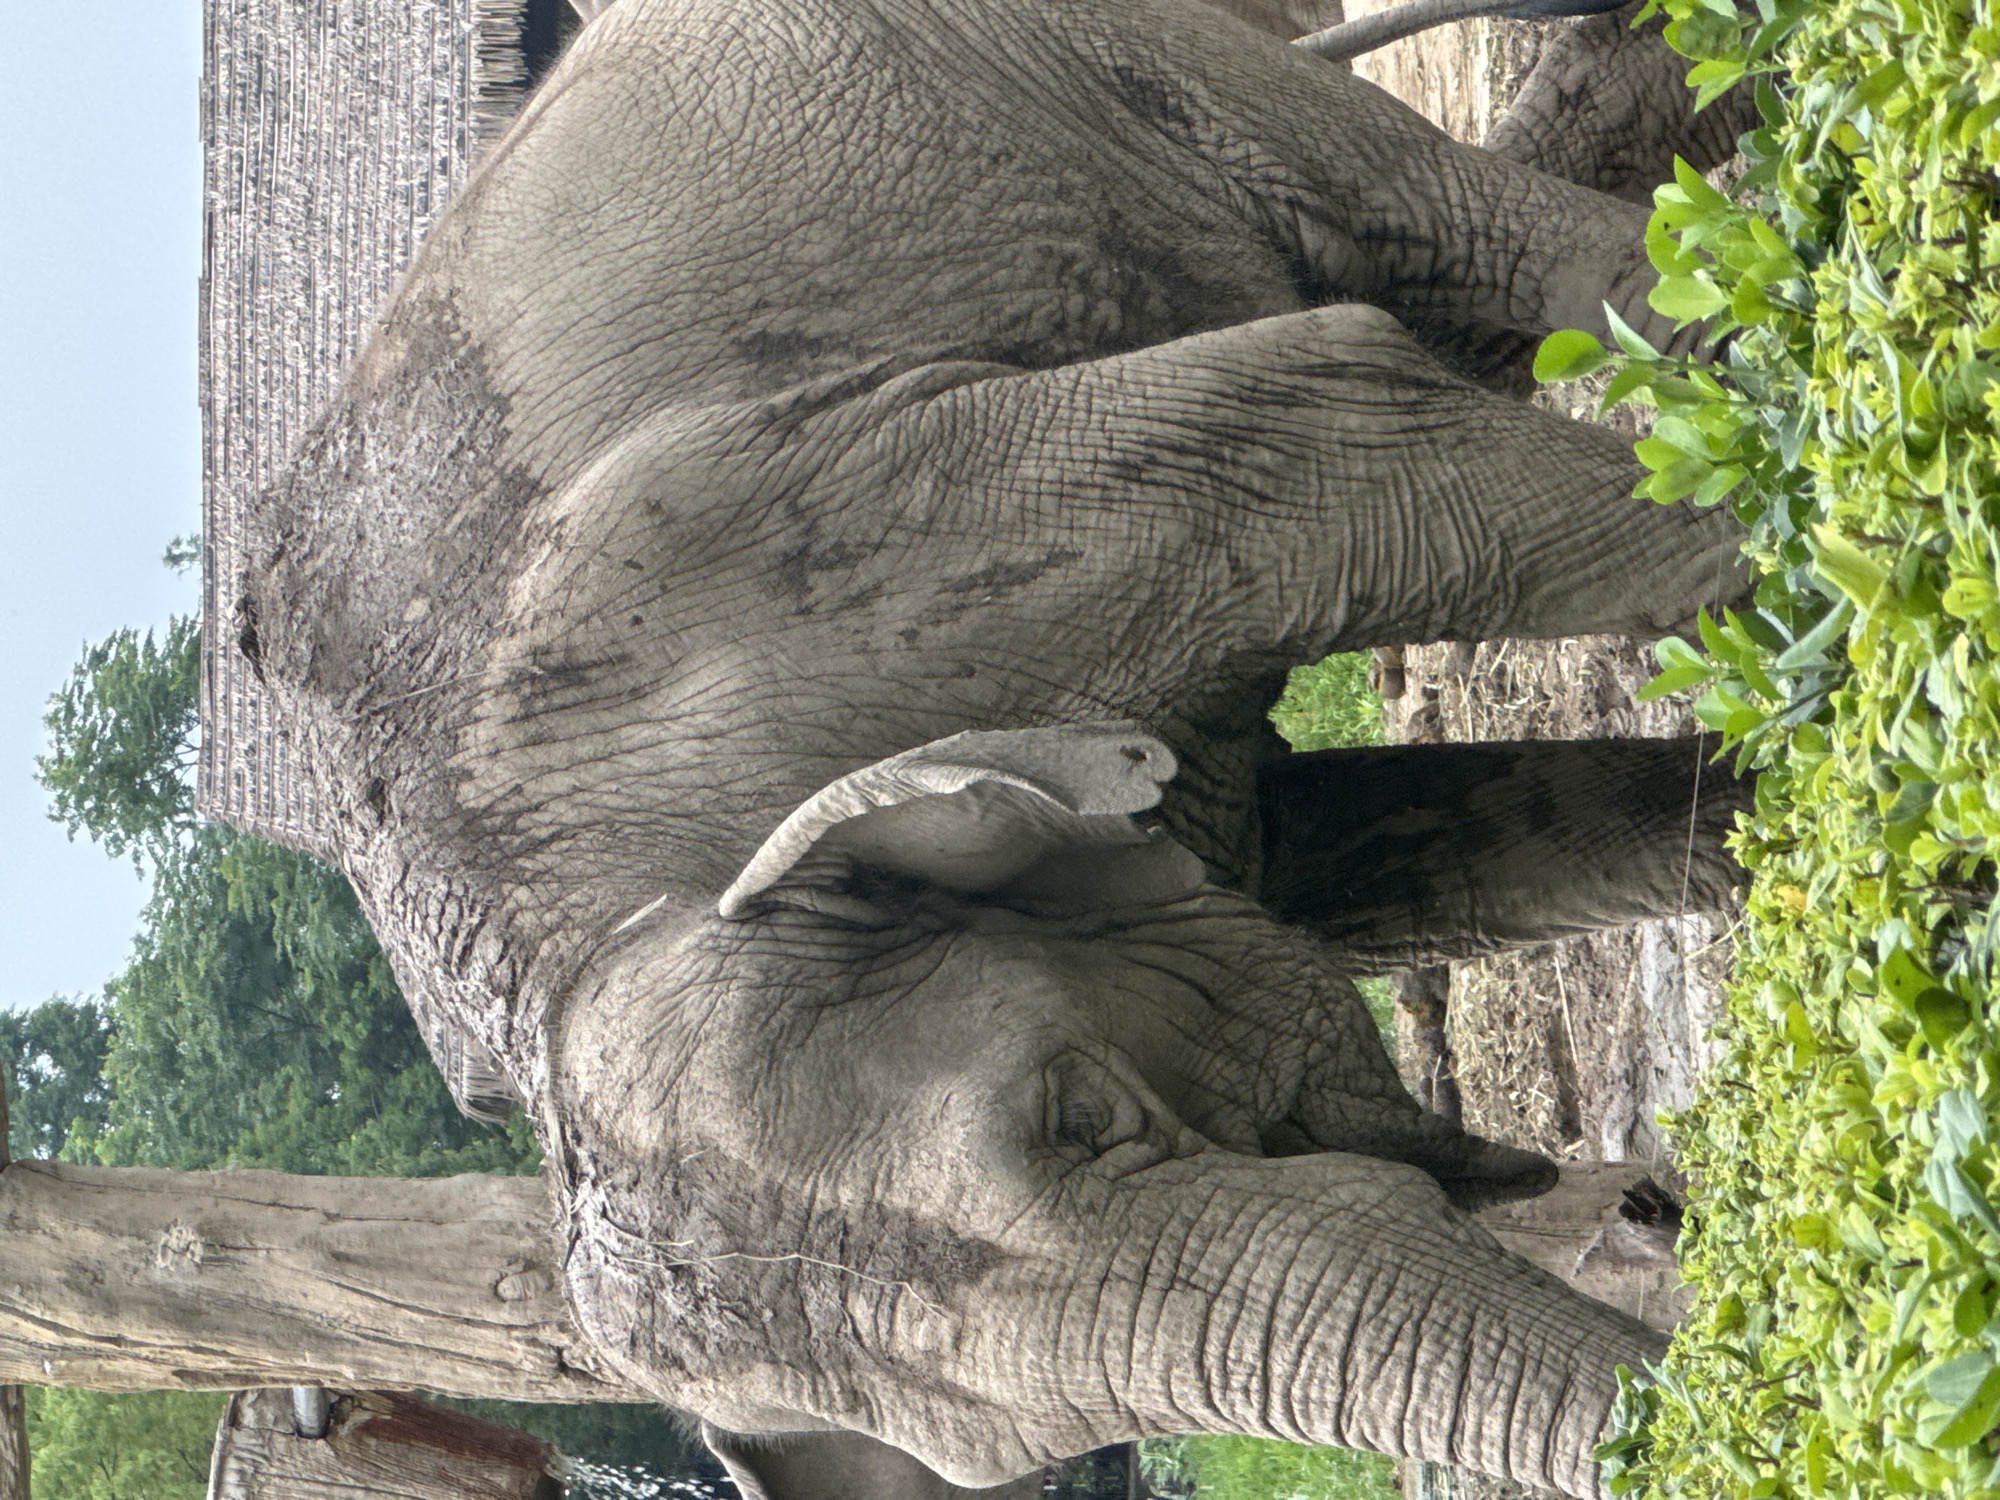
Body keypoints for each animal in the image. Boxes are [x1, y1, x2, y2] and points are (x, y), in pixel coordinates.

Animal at [236, 0, 1762, 1494]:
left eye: (1077, 1115)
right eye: (1014, 1458)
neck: (580, 937)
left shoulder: (859, 551)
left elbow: (1336, 409)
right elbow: (1386, 857)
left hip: (1044, 57)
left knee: (1426, 229)